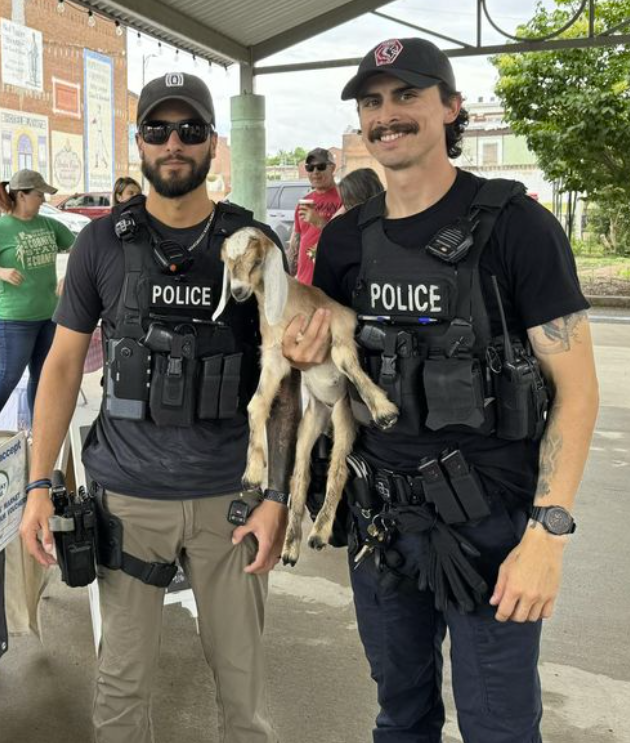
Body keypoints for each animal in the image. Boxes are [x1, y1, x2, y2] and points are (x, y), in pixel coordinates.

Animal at [213, 227, 398, 565]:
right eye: (227, 263)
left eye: (256, 261)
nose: (239, 291)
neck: (290, 310)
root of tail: (327, 410)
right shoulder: (275, 358)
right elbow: (256, 404)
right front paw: (252, 471)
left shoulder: (340, 328)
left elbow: (343, 360)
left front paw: (384, 411)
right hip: (309, 423)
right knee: (300, 476)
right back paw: (290, 548)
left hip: (344, 415)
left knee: (338, 470)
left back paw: (318, 535)